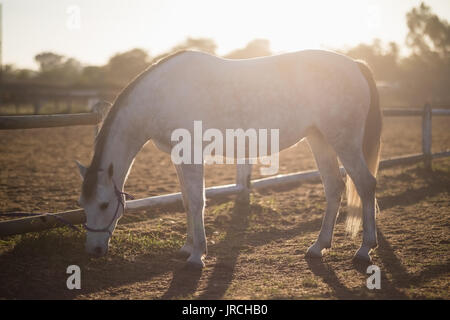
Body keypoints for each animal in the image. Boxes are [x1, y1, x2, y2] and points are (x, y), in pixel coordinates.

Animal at [76, 48, 380, 266]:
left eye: (104, 204)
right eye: (83, 204)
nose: (93, 250)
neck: (161, 96)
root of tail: (355, 64)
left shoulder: (192, 156)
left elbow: (197, 201)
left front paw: (197, 255)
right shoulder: (178, 158)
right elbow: (186, 201)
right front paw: (187, 247)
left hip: (344, 141)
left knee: (365, 185)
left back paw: (364, 250)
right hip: (320, 139)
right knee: (334, 187)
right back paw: (318, 247)